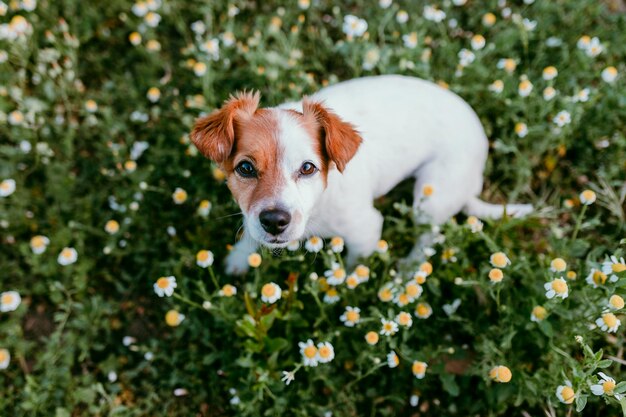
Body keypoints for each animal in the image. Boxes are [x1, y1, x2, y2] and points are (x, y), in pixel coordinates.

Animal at [191, 75, 532, 272]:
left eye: (308, 167)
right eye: (245, 168)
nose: (275, 221)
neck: (320, 202)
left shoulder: (366, 231)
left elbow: (355, 268)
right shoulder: (251, 215)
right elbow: (249, 232)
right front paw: (239, 258)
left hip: (431, 194)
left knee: (429, 235)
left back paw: (408, 271)